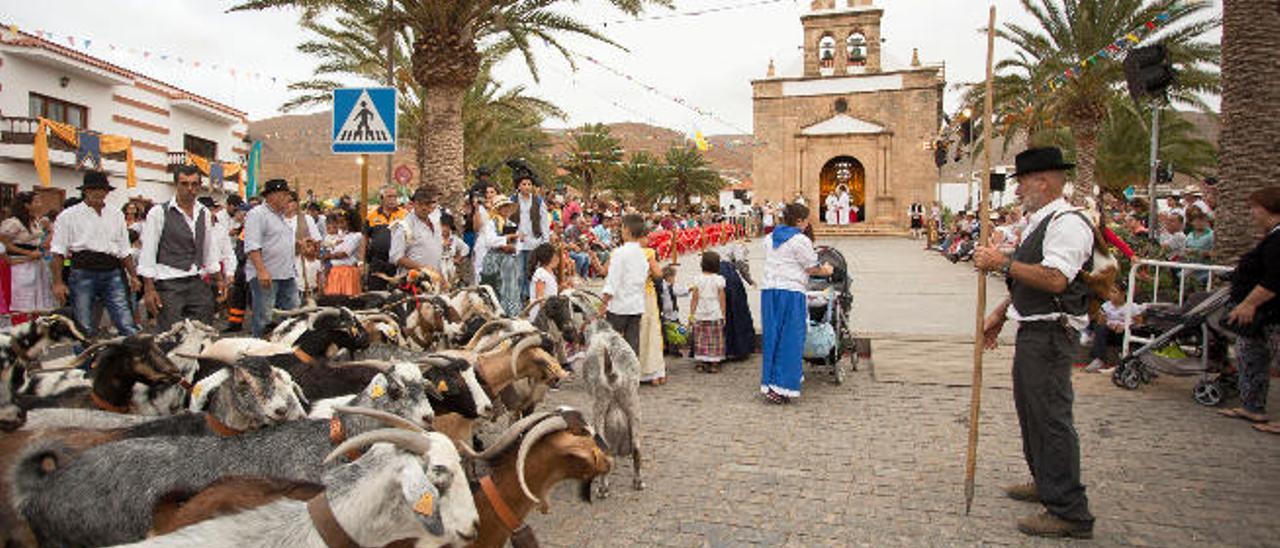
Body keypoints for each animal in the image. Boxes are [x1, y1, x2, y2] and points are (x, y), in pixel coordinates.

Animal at [581, 318, 645, 499]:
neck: (603, 331)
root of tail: (614, 377)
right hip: (633, 408)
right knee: (636, 450)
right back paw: (638, 482)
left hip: (599, 410)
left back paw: (603, 488)